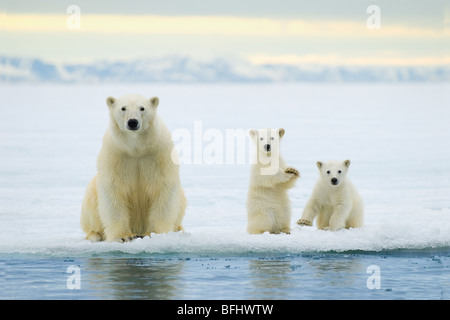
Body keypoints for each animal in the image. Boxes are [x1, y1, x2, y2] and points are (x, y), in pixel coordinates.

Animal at [81, 94, 186, 241]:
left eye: (142, 108)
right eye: (123, 108)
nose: (132, 122)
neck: (136, 149)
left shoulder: (159, 155)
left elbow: (163, 189)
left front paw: (155, 234)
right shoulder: (115, 156)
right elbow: (113, 192)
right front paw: (124, 236)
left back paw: (179, 230)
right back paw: (95, 234)